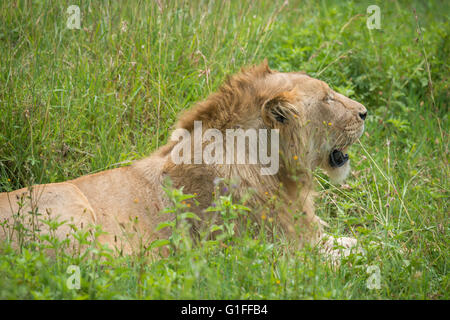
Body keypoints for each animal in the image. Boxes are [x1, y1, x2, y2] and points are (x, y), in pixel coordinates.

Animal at [0, 61, 366, 258]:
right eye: (328, 98)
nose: (365, 113)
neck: (278, 172)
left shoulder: (305, 236)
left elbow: (359, 243)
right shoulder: (277, 252)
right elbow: (353, 258)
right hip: (71, 205)